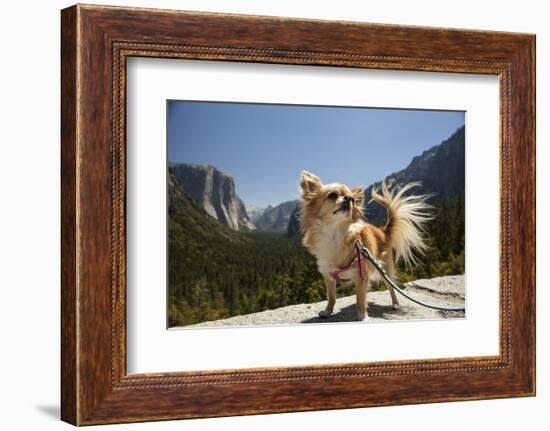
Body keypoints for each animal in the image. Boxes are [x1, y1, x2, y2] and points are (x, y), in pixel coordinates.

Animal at [300, 171, 434, 320]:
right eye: (332, 195)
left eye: (352, 199)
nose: (349, 198)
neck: (335, 234)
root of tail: (383, 230)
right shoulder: (328, 275)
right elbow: (331, 297)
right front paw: (327, 311)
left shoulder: (361, 276)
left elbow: (360, 299)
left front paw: (362, 317)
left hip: (385, 269)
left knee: (391, 287)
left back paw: (395, 304)